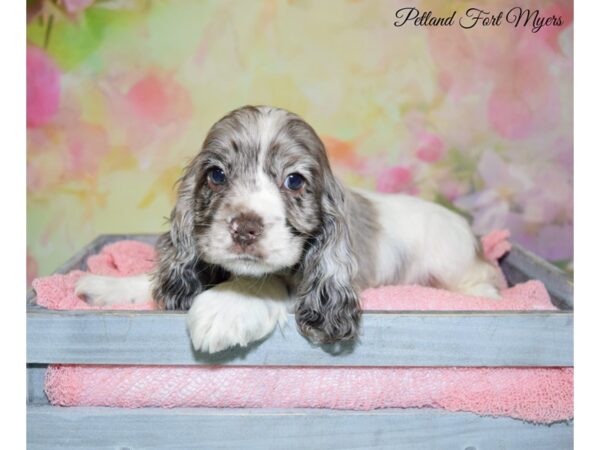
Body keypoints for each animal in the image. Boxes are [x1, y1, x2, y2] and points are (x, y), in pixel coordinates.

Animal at [77, 104, 504, 352]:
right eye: (216, 175)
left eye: (294, 181)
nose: (245, 227)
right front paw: (108, 286)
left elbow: (271, 280)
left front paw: (227, 306)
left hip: (451, 261)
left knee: (484, 281)